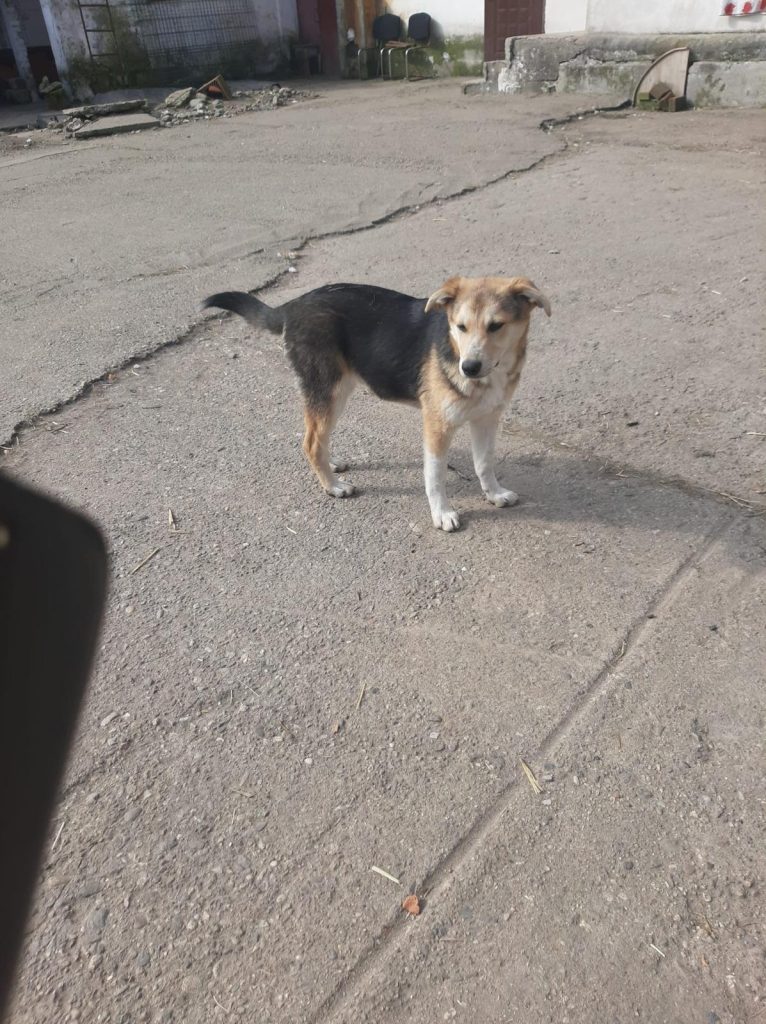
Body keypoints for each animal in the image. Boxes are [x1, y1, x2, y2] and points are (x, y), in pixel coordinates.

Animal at [202, 276, 550, 531]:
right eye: (460, 327)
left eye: (496, 326)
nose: (469, 368)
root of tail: (293, 305)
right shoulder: (437, 424)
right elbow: (435, 476)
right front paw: (442, 514)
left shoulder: (486, 418)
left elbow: (484, 463)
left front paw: (494, 494)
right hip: (328, 388)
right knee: (311, 441)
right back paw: (333, 486)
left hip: (340, 391)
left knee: (319, 438)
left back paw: (331, 463)